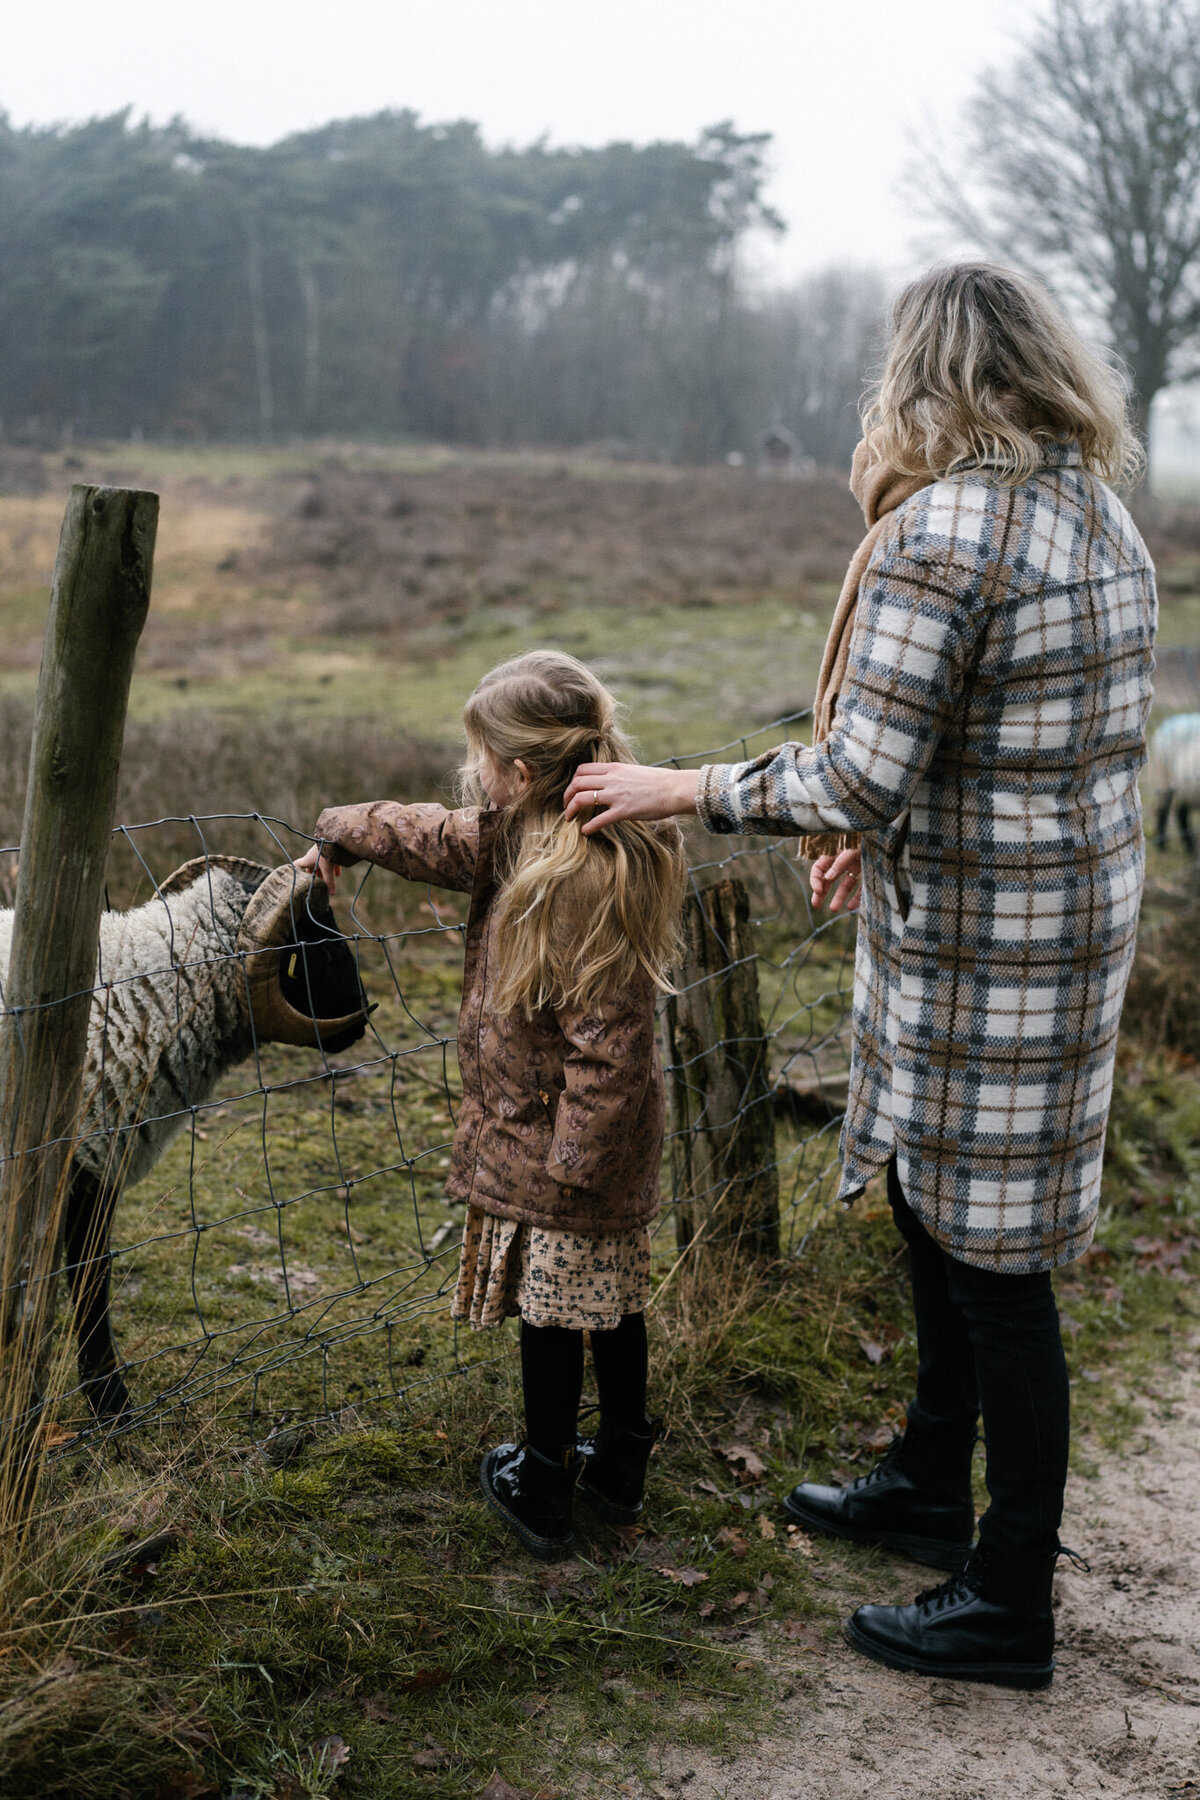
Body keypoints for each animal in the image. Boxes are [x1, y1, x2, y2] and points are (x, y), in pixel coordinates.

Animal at [0, 856, 368, 1418]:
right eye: (320, 949)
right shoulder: (83, 1162)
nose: (364, 1016)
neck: (134, 1003)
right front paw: (110, 1404)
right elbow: (90, 1279)